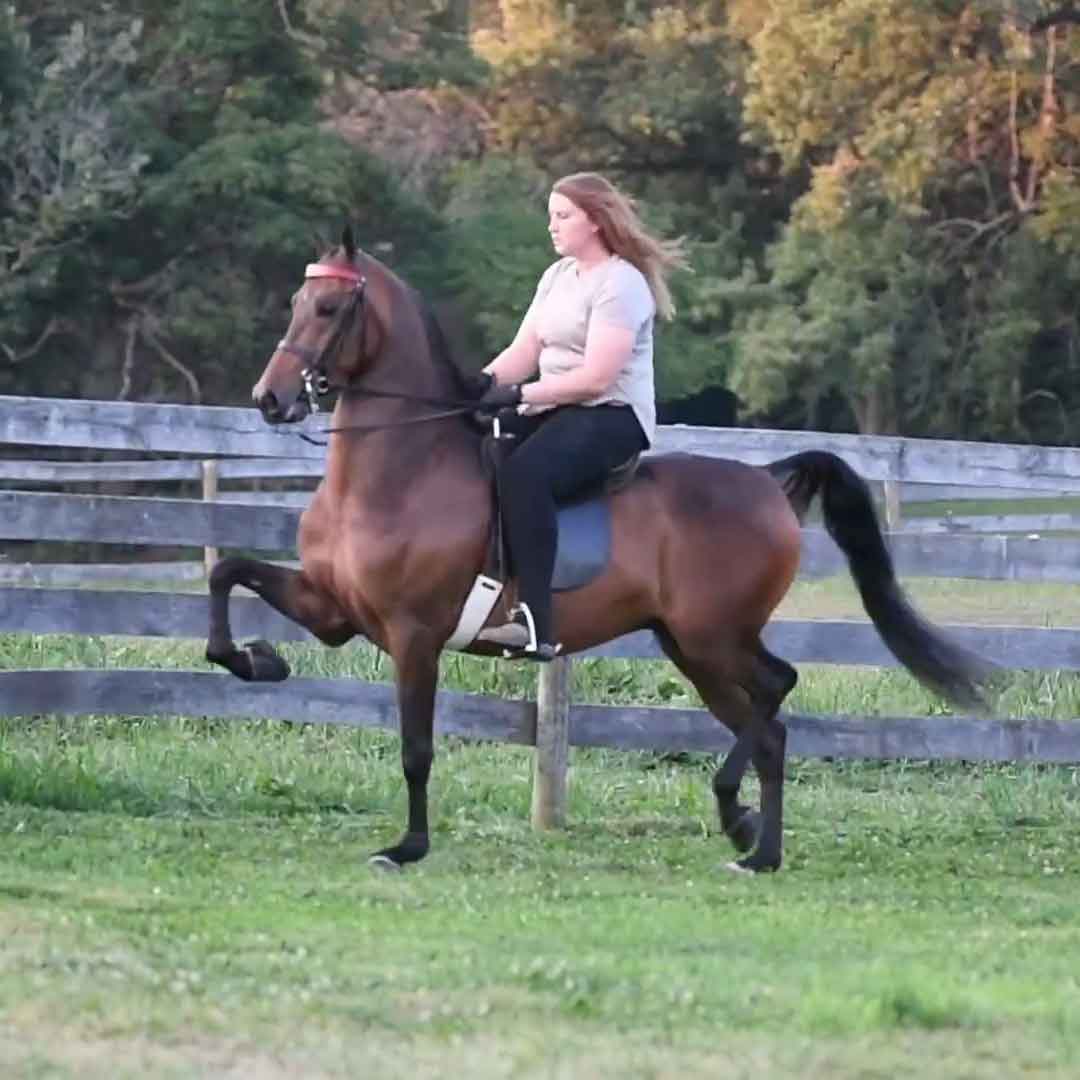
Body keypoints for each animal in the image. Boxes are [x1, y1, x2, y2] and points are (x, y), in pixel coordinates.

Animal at [206, 226, 992, 873]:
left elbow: (416, 749)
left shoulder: (413, 635)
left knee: (776, 697)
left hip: (713, 636)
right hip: (691, 646)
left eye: (328, 310)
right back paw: (749, 838)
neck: (402, 466)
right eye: (297, 301)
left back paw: (747, 831)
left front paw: (408, 847)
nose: (270, 399)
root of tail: (768, 481)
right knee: (766, 720)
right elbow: (228, 575)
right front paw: (257, 660)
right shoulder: (334, 611)